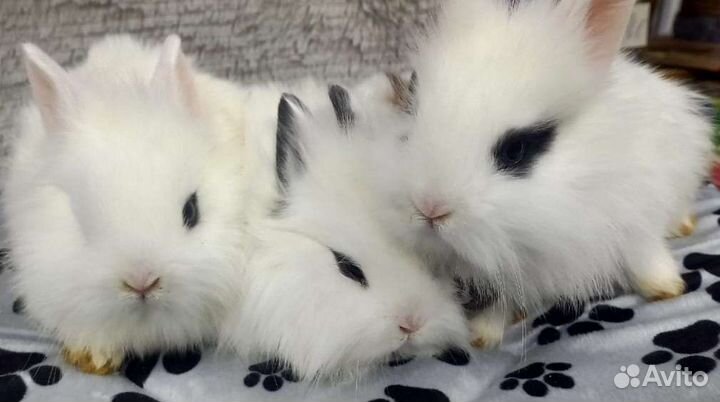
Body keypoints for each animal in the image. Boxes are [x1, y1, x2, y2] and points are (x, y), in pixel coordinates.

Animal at [373, 0, 714, 348]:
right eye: (410, 120)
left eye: (516, 149)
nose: (430, 208)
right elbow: (501, 301)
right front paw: (483, 335)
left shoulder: (636, 217)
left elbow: (645, 255)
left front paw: (666, 289)